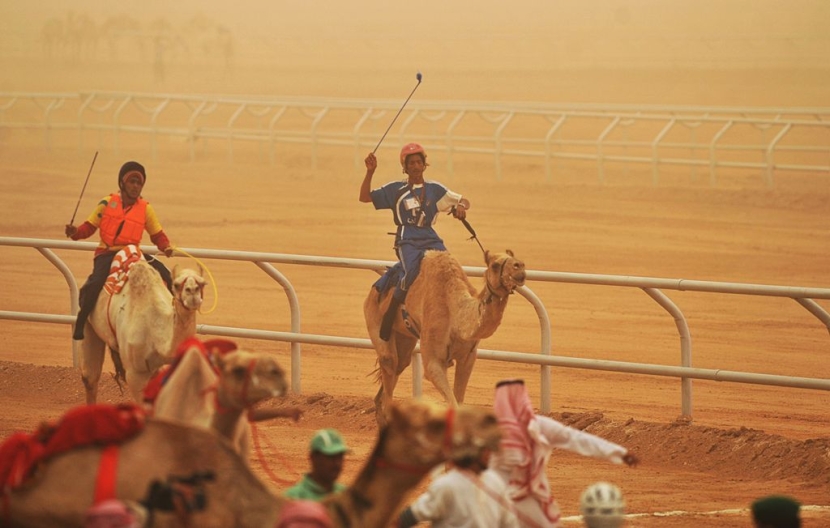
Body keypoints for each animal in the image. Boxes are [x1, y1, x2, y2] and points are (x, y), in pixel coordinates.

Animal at [79, 246, 206, 404]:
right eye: (176, 285)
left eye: (203, 283)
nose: (192, 291)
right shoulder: (135, 374)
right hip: (88, 324)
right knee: (90, 377)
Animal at [366, 250, 528, 426]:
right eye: (495, 265)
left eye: (514, 258)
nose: (520, 267)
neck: (456, 315)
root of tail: (372, 291)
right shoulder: (433, 362)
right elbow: (452, 402)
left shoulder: (468, 357)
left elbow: (459, 400)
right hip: (374, 318)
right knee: (389, 361)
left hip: (404, 336)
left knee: (400, 364)